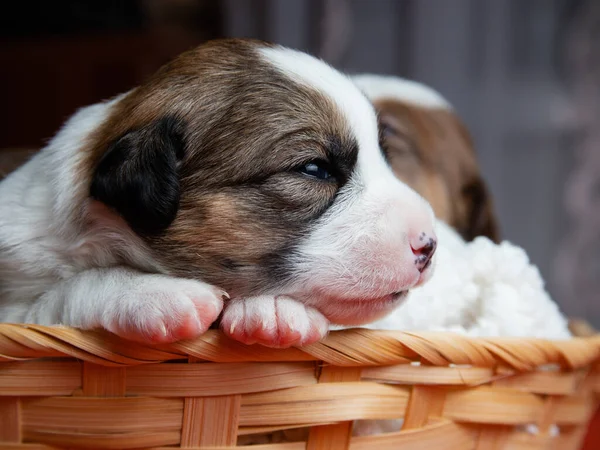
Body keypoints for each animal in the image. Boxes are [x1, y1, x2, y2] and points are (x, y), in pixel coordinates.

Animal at [1, 38, 440, 348]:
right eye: (314, 169)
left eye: (384, 156)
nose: (429, 244)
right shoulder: (18, 306)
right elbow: (71, 289)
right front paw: (156, 294)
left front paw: (275, 310)